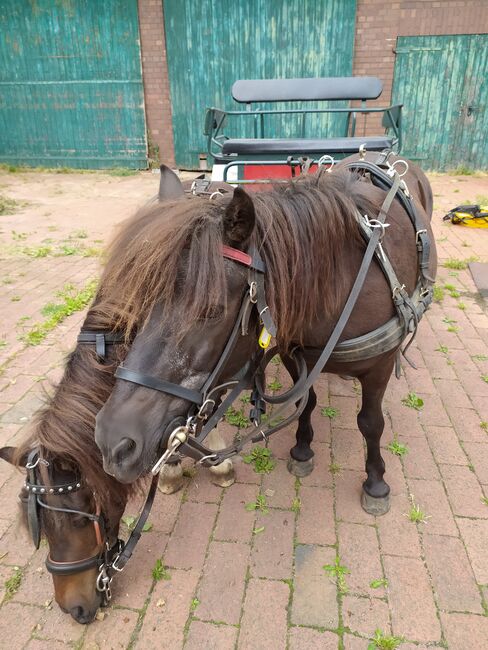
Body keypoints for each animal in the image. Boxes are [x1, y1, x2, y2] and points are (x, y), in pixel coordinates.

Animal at [93, 152, 436, 512]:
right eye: (142, 299)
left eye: (212, 310)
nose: (113, 441)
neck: (345, 281)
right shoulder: (293, 355)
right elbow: (307, 401)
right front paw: (302, 450)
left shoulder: (380, 367)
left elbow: (371, 423)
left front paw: (375, 482)